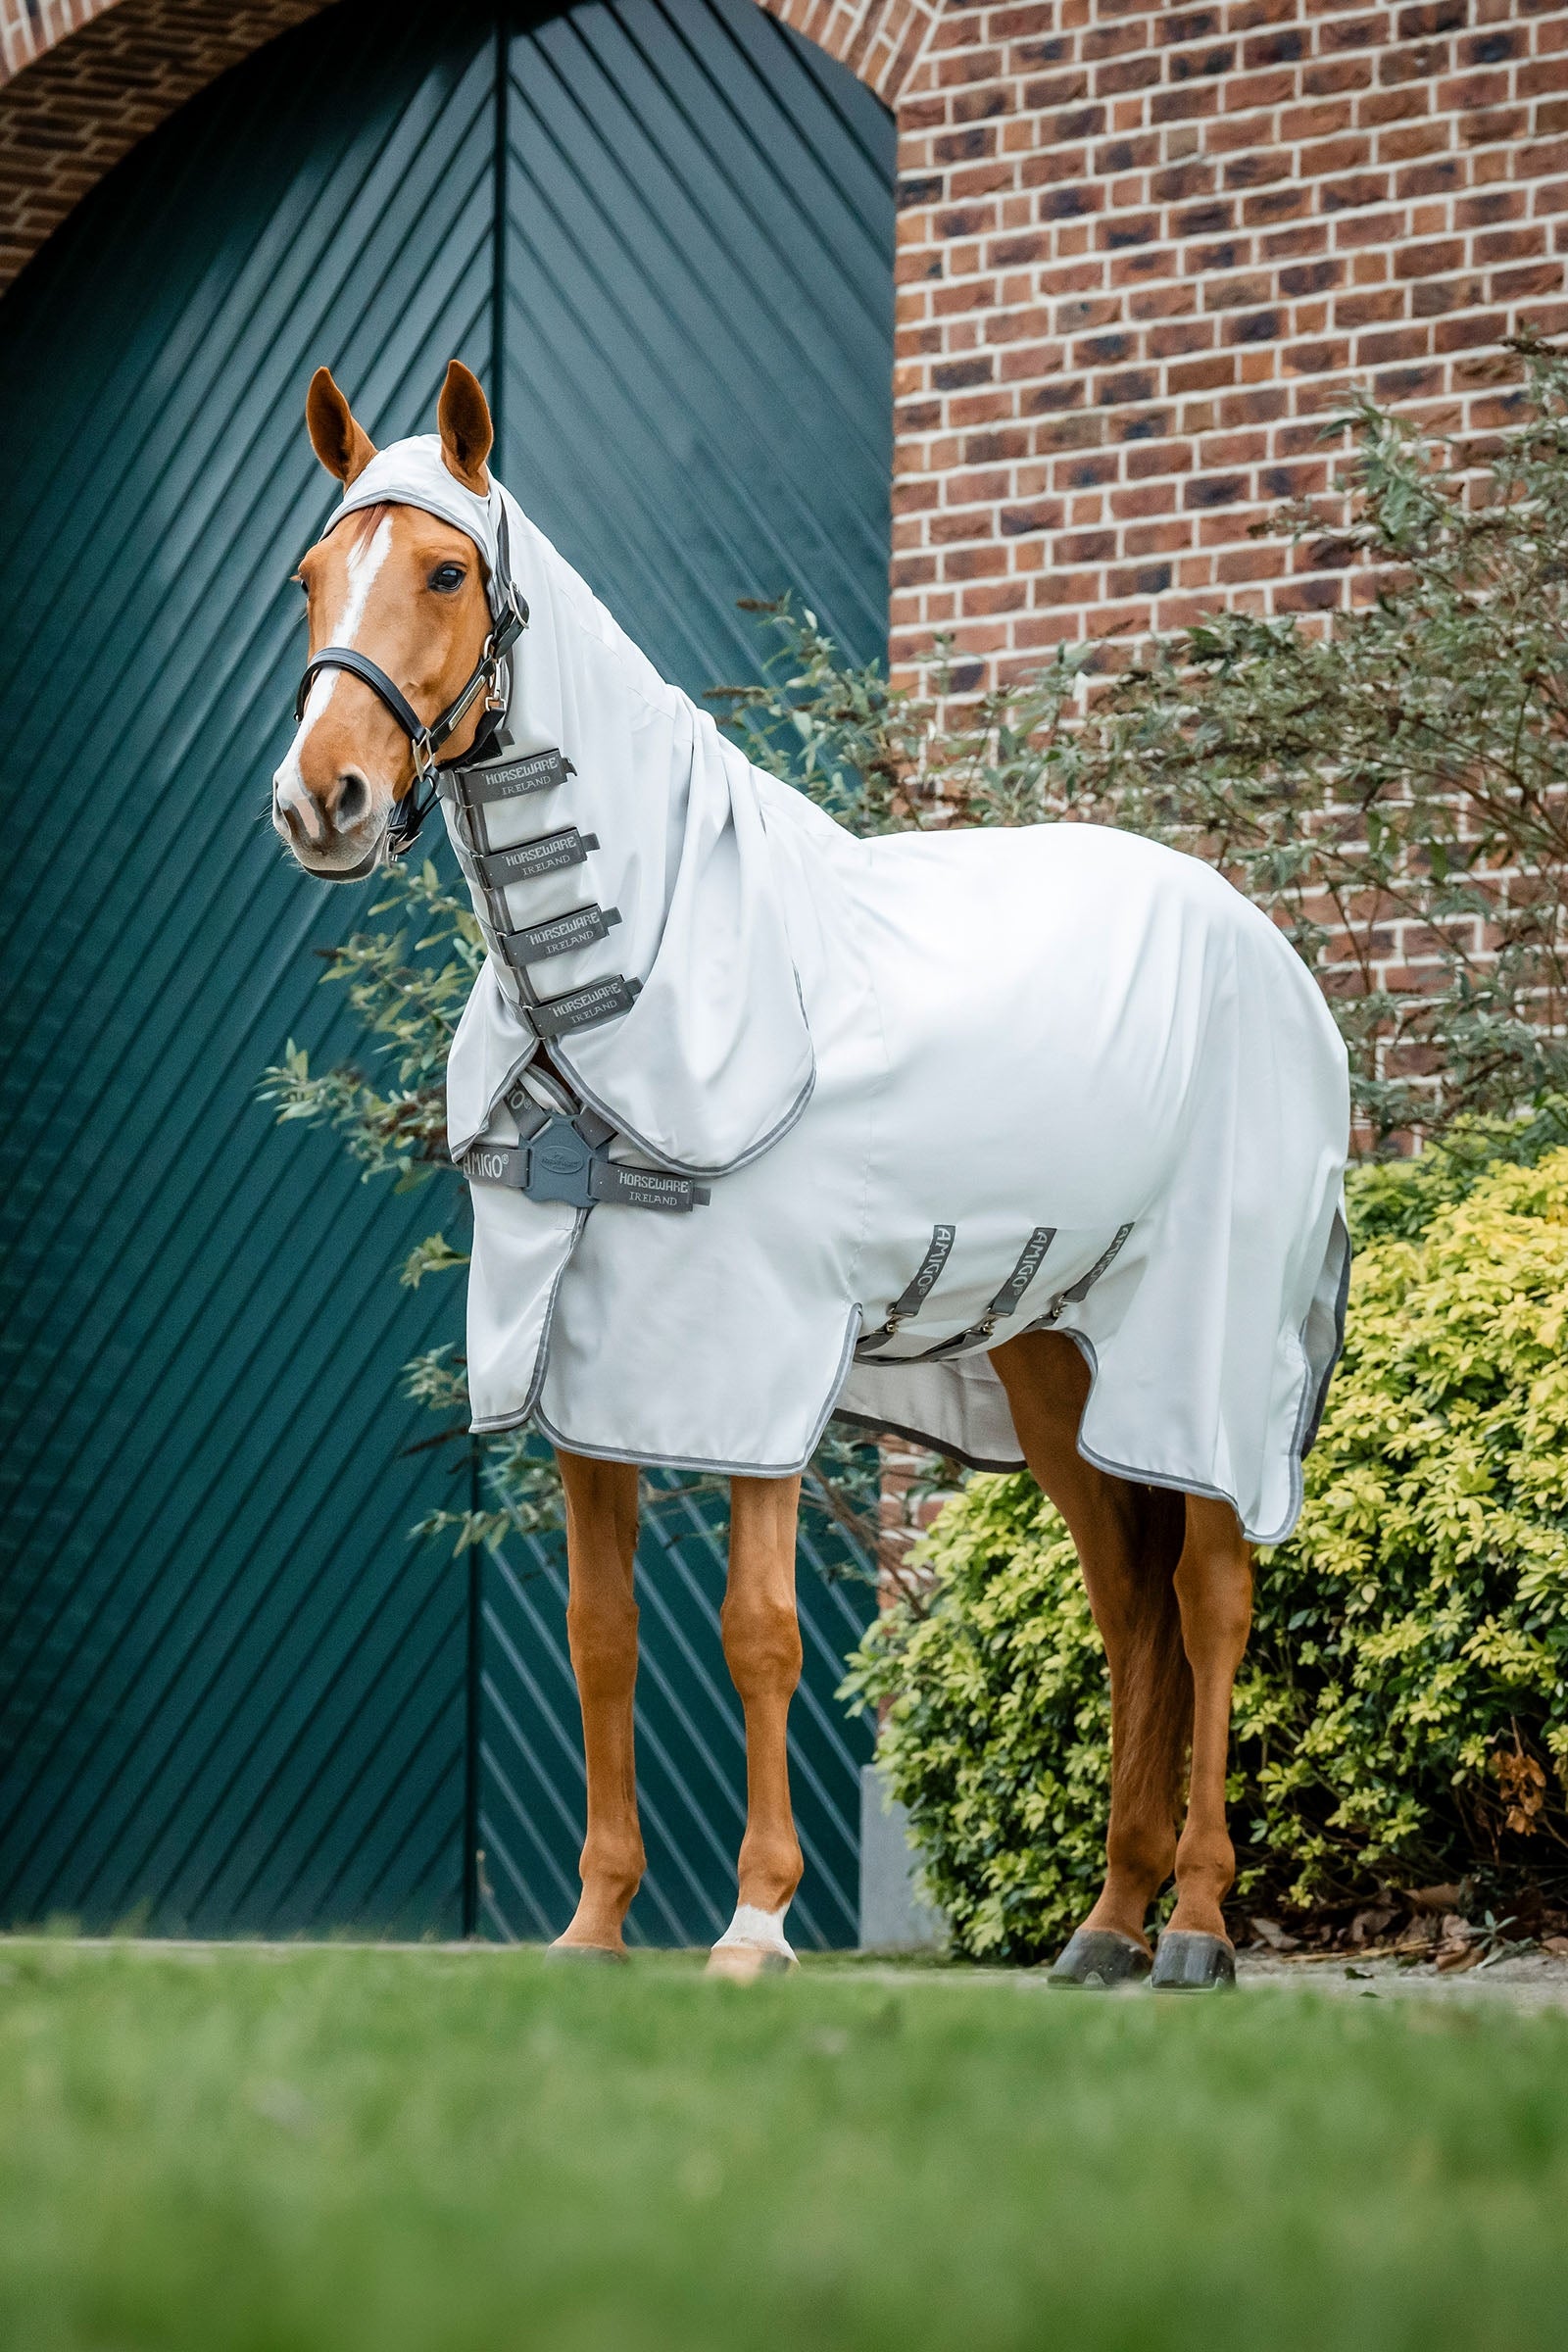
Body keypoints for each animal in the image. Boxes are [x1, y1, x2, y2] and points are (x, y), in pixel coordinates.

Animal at [273, 359, 1350, 1989]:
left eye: (448, 573)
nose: (318, 799)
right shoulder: (590, 1381)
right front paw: (593, 1929)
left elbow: (760, 1631)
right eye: (312, 578)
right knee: (1128, 1607)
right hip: (1055, 1360)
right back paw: (1103, 1926)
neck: (642, 979)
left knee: (1212, 1597)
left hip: (1208, 1354)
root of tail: (1265, 947)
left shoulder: (756, 1366)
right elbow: (600, 1634)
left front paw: (756, 1924)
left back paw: (1197, 1928)